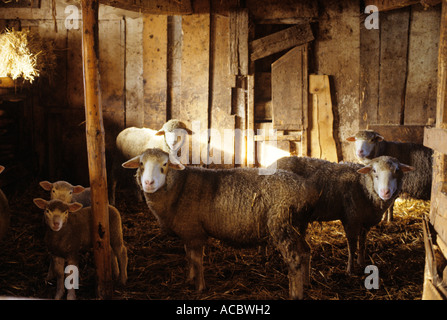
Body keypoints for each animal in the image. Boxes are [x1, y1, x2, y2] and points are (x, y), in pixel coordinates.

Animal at [122, 148, 322, 300]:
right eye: (141, 164)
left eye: (164, 165)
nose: (148, 183)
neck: (178, 187)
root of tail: (307, 189)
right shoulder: (188, 231)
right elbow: (189, 257)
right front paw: (189, 279)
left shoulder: (195, 232)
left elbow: (197, 260)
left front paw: (200, 287)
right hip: (297, 225)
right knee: (305, 251)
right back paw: (306, 282)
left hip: (281, 225)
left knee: (294, 259)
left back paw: (295, 294)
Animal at [272, 156, 416, 276]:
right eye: (374, 171)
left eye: (397, 170)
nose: (385, 192)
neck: (363, 185)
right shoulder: (351, 219)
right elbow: (352, 247)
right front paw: (350, 270)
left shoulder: (364, 221)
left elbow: (362, 243)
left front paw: (361, 262)